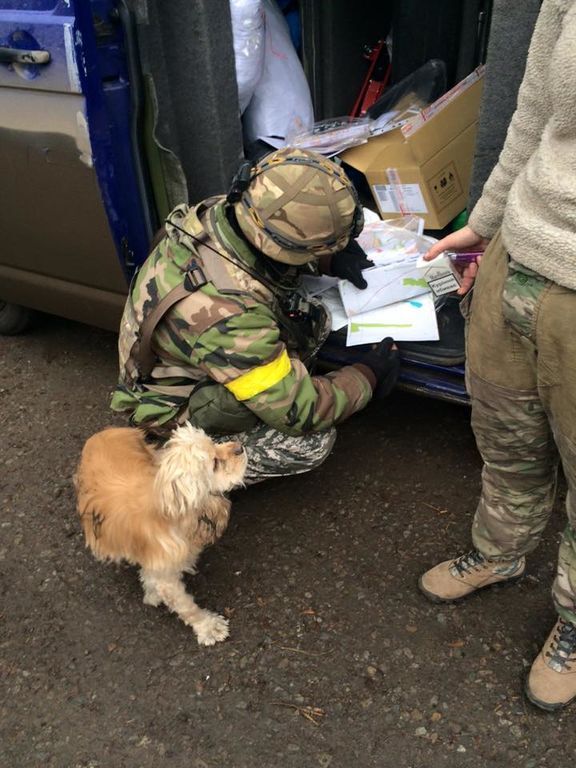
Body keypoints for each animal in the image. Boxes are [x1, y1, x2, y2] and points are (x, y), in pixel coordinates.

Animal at [73, 424, 246, 644]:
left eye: (214, 442)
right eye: (214, 463)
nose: (240, 447)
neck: (168, 510)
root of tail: (103, 432)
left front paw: (150, 590)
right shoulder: (166, 575)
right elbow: (186, 606)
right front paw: (209, 628)